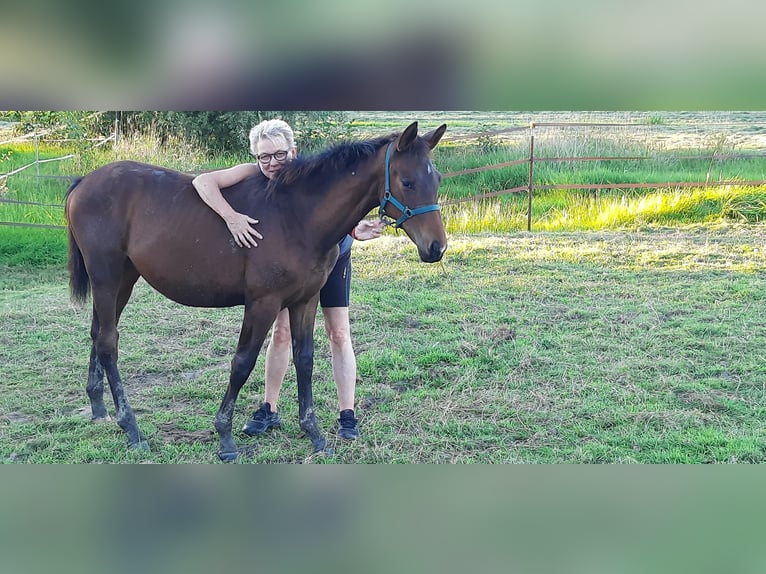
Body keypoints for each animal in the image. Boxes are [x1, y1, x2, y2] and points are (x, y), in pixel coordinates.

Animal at [67, 121, 450, 464]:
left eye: (437, 180)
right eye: (407, 181)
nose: (436, 248)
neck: (296, 217)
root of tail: (85, 181)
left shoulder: (305, 300)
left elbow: (305, 359)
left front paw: (314, 434)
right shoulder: (262, 304)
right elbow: (242, 363)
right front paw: (225, 438)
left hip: (123, 280)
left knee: (98, 333)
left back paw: (99, 407)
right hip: (107, 278)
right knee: (108, 342)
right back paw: (131, 428)